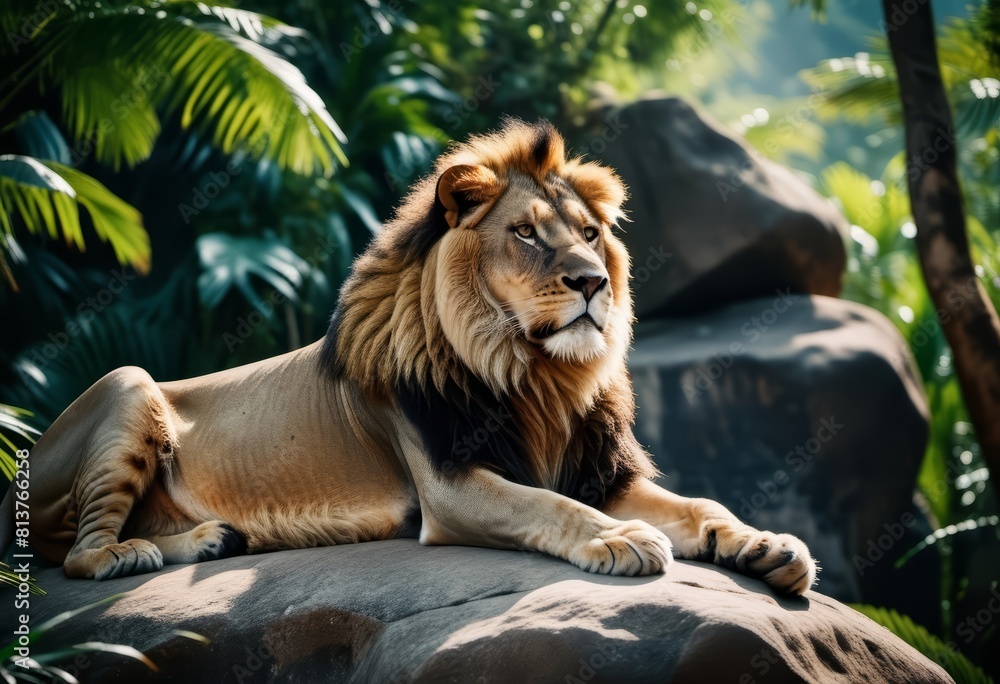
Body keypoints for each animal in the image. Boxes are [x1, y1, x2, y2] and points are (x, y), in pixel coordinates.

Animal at [1, 119, 817, 594]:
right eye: (526, 233)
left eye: (589, 233)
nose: (591, 282)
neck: (535, 374)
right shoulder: (450, 486)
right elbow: (547, 505)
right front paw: (618, 539)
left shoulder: (601, 471)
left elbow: (699, 504)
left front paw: (764, 544)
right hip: (128, 381)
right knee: (74, 554)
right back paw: (139, 552)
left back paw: (210, 539)